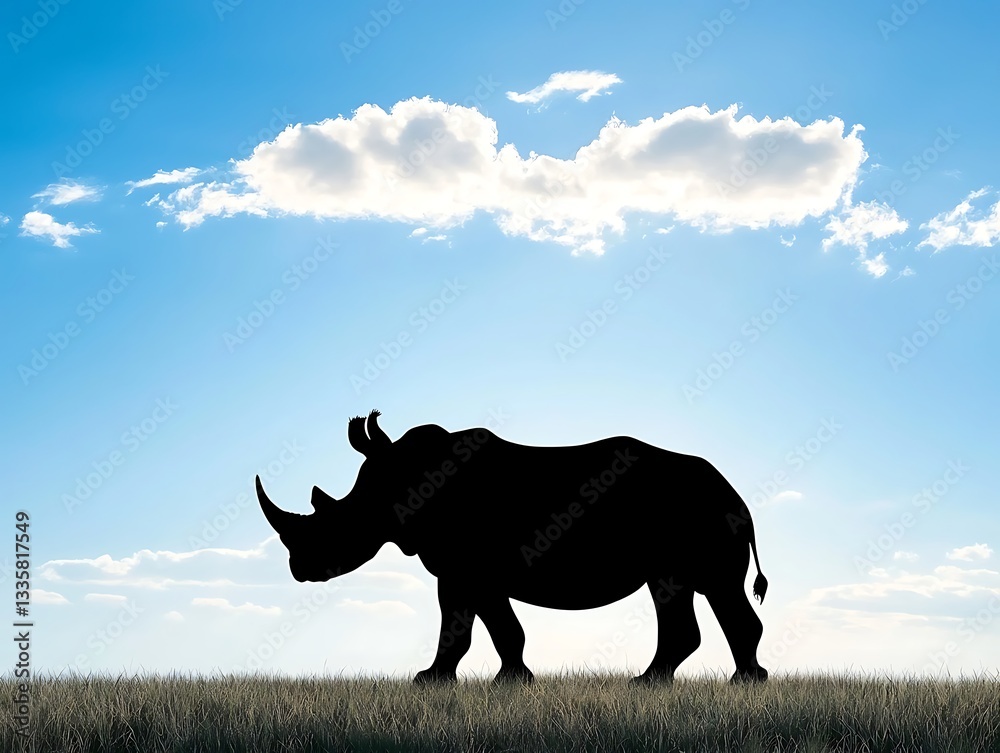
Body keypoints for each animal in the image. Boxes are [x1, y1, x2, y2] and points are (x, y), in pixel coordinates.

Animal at [257, 410, 769, 684]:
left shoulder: (468, 567)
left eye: (337, 521)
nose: (299, 568)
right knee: (689, 589)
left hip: (702, 512)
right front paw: (479, 680)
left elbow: (478, 627)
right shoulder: (465, 570)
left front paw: (462, 681)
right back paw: (679, 683)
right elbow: (480, 625)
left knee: (714, 588)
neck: (397, 483)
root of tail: (738, 498)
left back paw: (711, 684)